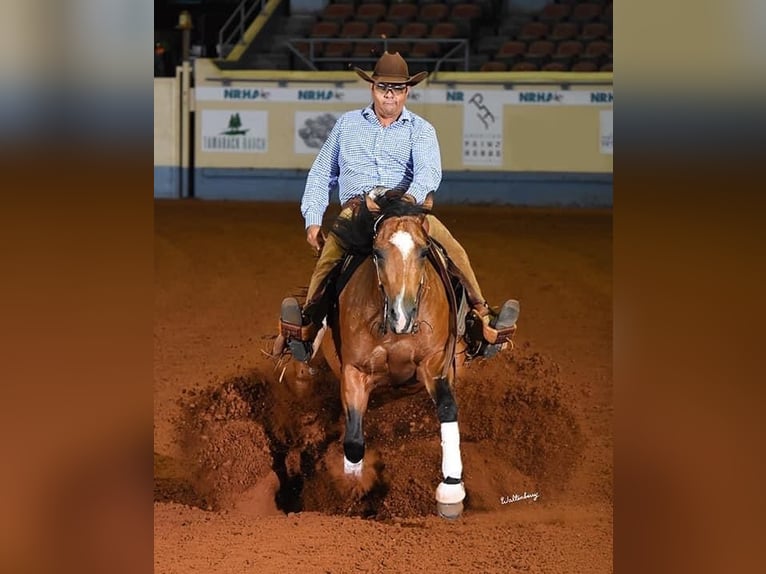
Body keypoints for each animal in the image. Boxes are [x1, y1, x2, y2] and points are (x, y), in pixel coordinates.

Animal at [319, 192, 467, 518]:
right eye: (377, 253)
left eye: (424, 252)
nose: (402, 316)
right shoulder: (354, 371)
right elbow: (353, 439)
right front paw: (352, 493)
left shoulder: (436, 363)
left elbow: (447, 407)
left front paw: (451, 490)